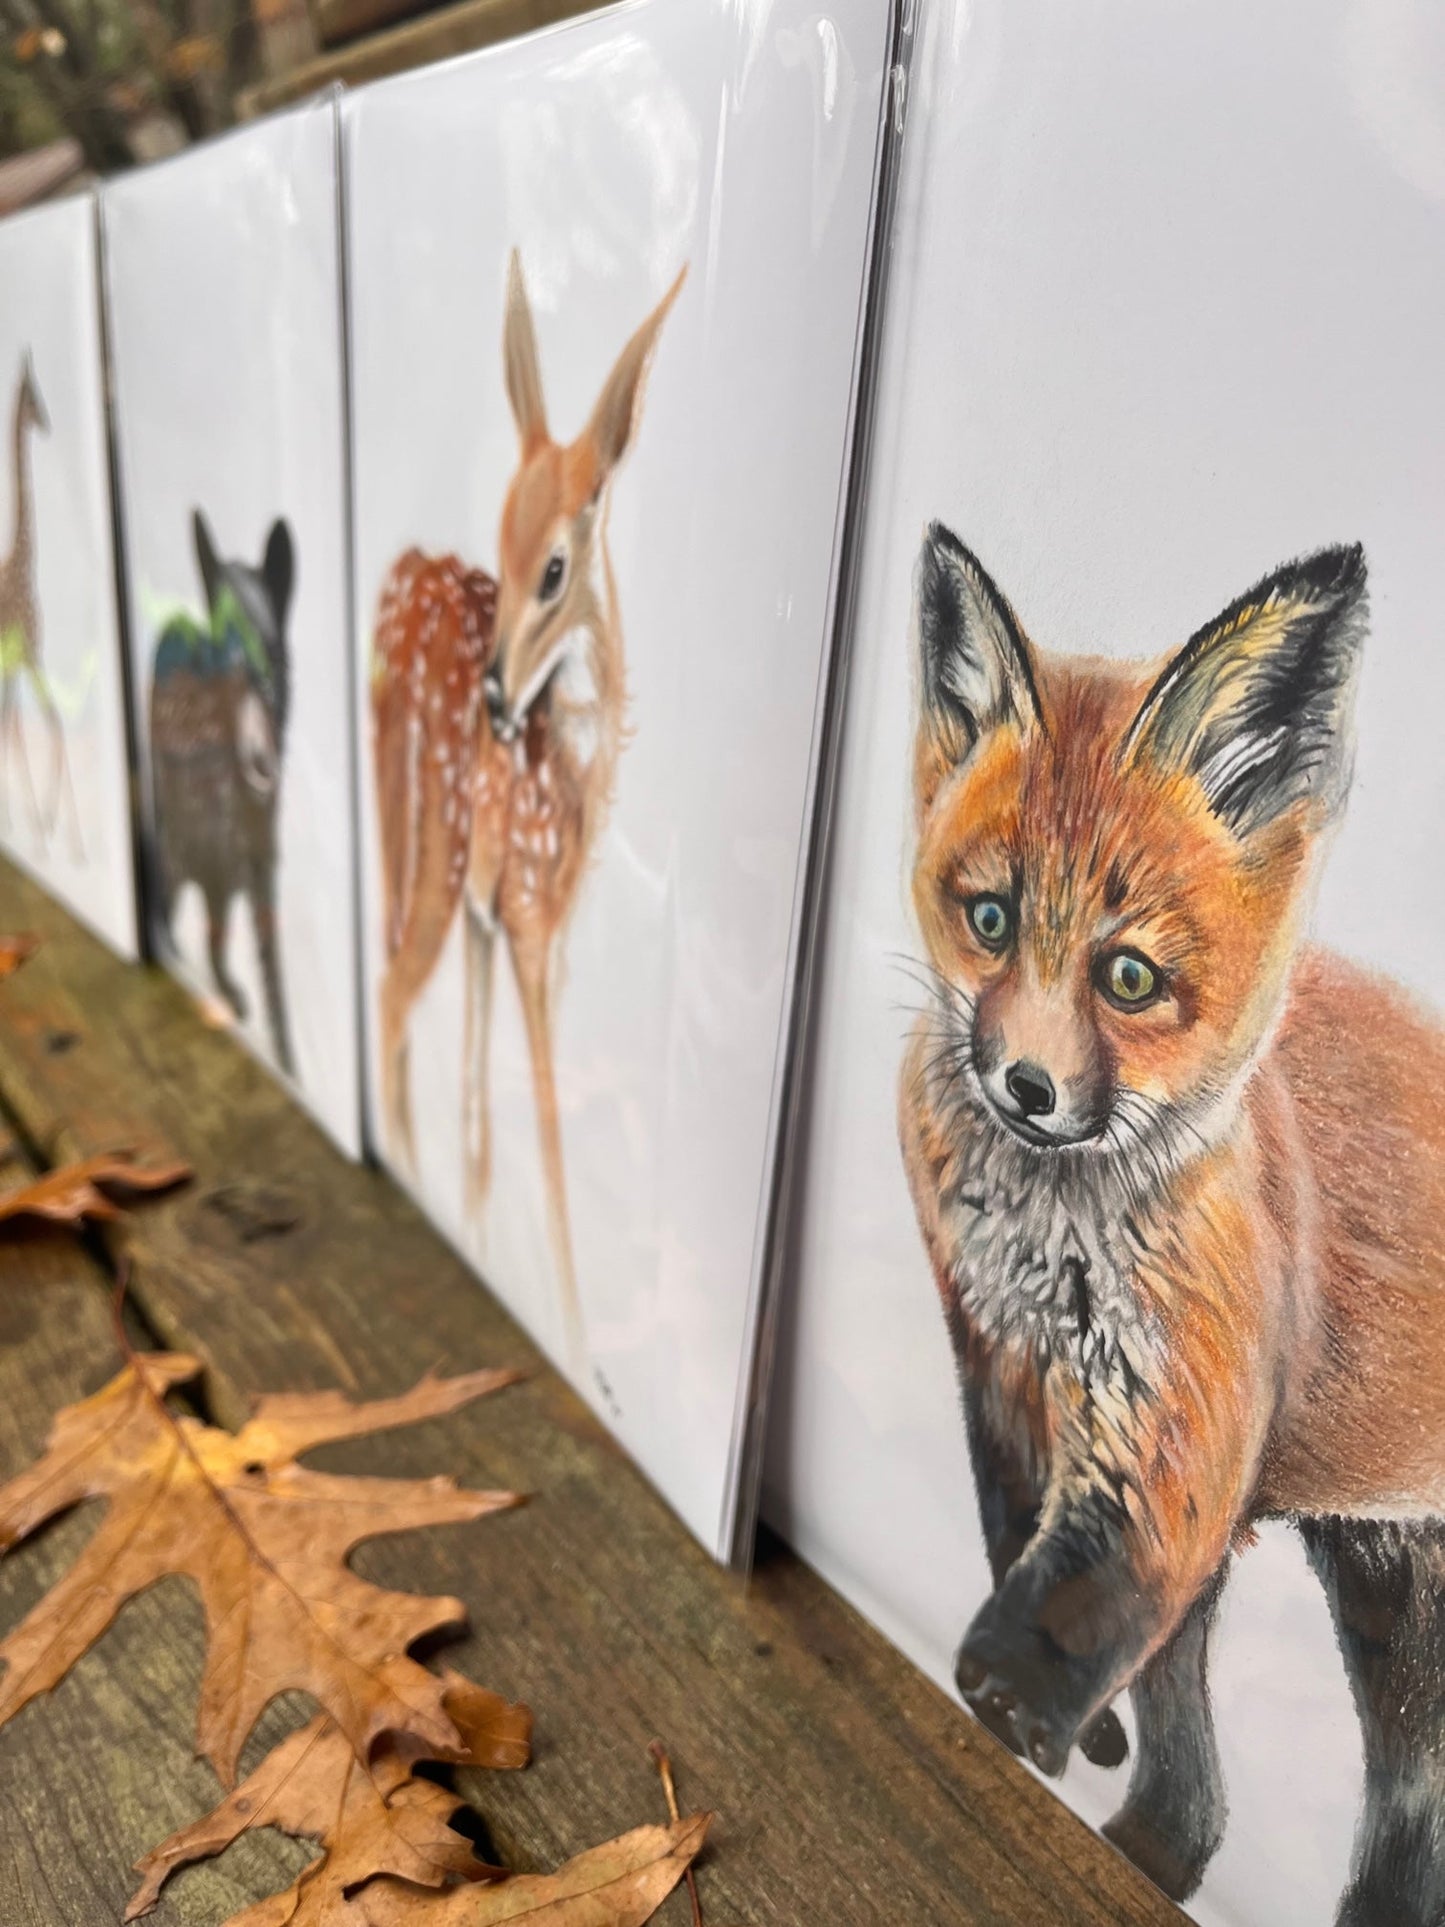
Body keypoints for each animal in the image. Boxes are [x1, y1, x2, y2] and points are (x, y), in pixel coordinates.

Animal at [898, 523, 1445, 1924]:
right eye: (989, 919)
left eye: (1128, 975)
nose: (1023, 1088)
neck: (1046, 1234)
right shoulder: (997, 1364)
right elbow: (1064, 1585)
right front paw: (1108, 1774)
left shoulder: (1179, 1425)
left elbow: (1089, 1595)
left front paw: (1011, 1705)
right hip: (1384, 1596)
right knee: (1373, 1799)